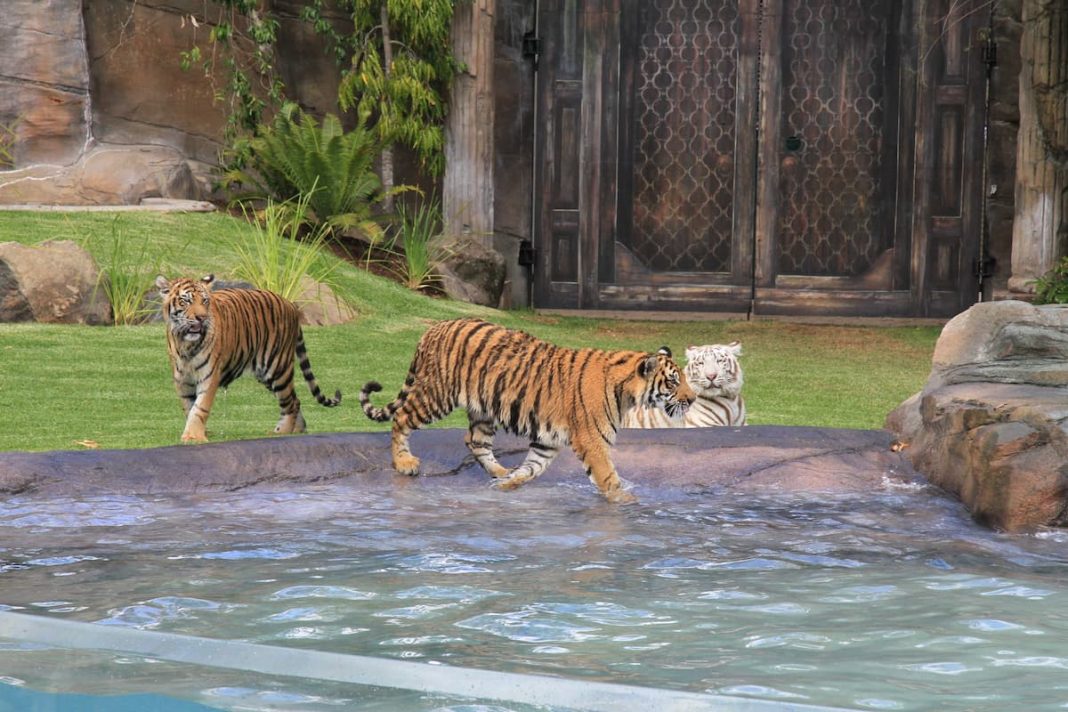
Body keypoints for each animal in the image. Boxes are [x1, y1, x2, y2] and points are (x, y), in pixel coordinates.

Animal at [155, 275, 339, 441]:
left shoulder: (209, 376)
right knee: (296, 400)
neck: (185, 343)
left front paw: (194, 437)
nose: (202, 318)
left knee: (290, 403)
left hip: (277, 367)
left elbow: (200, 408)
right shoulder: (182, 379)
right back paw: (298, 430)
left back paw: (282, 432)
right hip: (265, 374)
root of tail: (290, 304)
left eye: (205, 301)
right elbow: (188, 407)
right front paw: (199, 432)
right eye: (185, 301)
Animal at [356, 320, 692, 503]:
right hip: (437, 396)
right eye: (674, 381)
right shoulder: (592, 441)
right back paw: (404, 463)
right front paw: (625, 500)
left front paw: (508, 483)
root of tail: (435, 327)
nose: (692, 398)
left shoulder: (548, 440)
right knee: (401, 419)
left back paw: (500, 472)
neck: (626, 392)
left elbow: (532, 467)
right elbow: (608, 477)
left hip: (483, 410)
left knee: (474, 441)